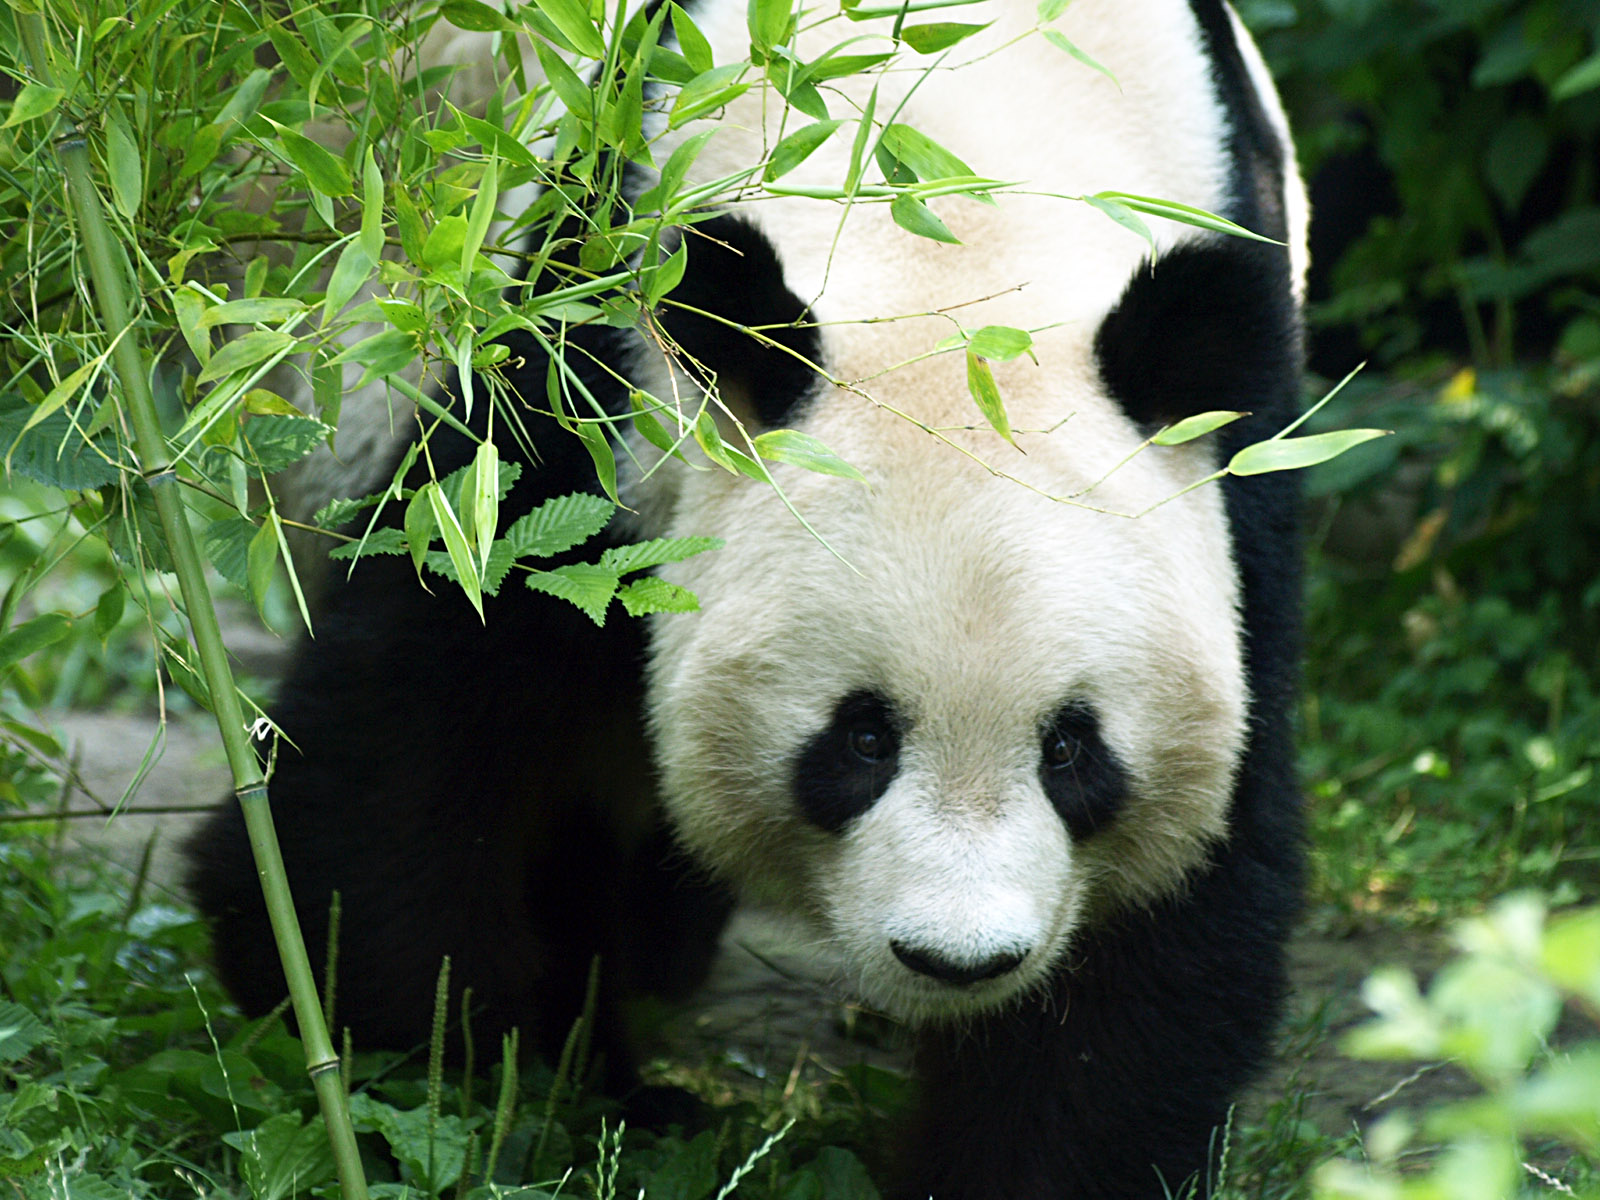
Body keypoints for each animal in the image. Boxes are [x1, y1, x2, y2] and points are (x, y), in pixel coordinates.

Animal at [185, 0, 1308, 1196]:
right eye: (860, 739)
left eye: (1071, 750)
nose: (952, 960)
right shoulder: (583, 371)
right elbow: (409, 739)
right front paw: (442, 1074)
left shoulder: (1237, 478)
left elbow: (1166, 939)